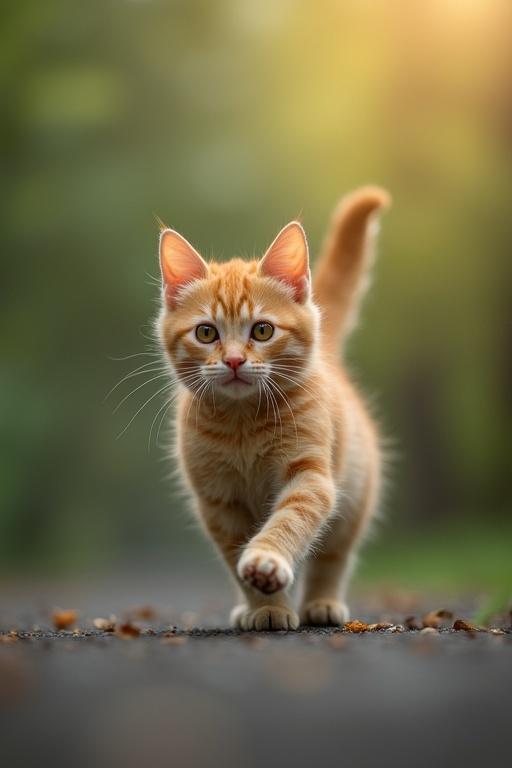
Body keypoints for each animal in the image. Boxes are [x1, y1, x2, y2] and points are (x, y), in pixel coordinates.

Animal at [158, 188, 390, 632]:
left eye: (262, 330)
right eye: (206, 333)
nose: (233, 360)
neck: (242, 425)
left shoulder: (311, 476)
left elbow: (289, 521)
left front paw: (266, 562)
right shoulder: (219, 502)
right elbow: (234, 553)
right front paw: (265, 606)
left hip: (355, 497)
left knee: (333, 556)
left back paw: (322, 603)